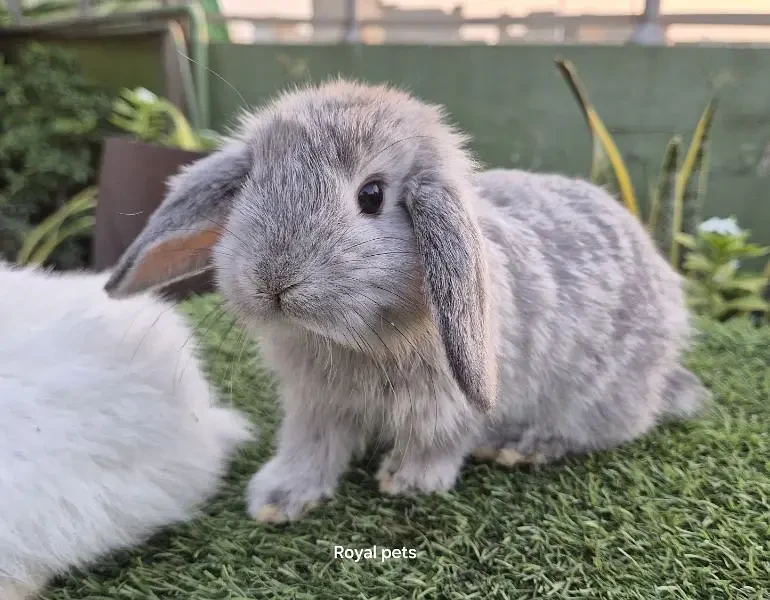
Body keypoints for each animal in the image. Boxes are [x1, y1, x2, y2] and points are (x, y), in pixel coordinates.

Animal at [102, 77, 708, 524]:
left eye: (372, 196)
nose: (273, 281)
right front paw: (277, 500)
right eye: (252, 182)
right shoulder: (314, 406)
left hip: (597, 397)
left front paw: (407, 482)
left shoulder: (447, 405)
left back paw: (523, 444)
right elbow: (309, 448)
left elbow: (437, 442)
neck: (359, 339)